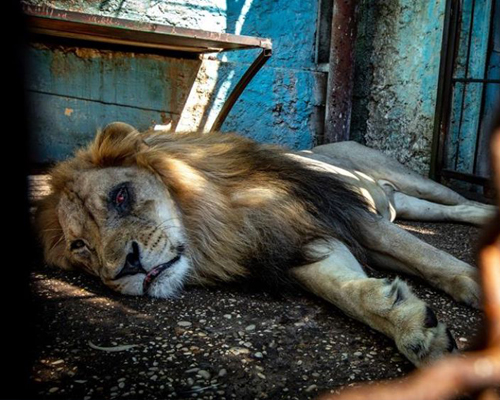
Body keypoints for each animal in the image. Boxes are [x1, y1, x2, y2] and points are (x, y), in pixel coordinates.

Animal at [36, 122, 496, 368]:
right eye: (80, 246)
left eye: (120, 196)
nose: (125, 268)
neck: (214, 223)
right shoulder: (295, 245)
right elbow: (347, 293)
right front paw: (413, 327)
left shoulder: (345, 215)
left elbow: (430, 256)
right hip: (406, 203)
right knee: (458, 211)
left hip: (411, 182)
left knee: (462, 201)